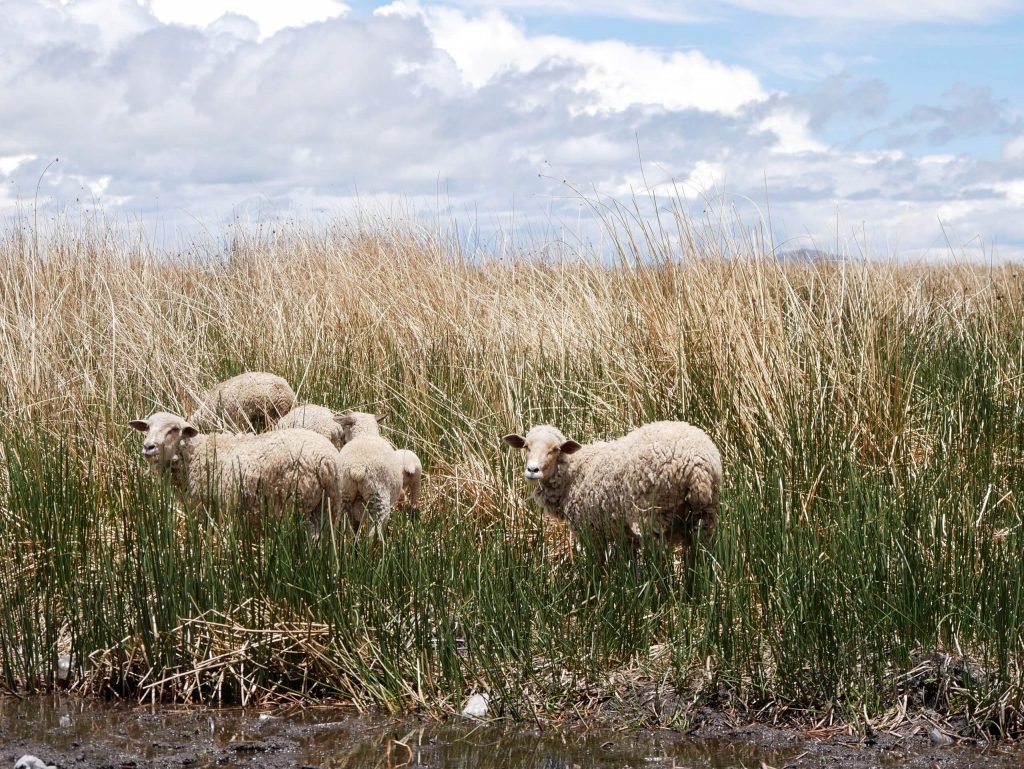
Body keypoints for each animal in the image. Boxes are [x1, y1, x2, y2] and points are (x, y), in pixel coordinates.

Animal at [128, 411, 342, 532]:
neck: (195, 454)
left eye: (173, 429)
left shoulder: (211, 508)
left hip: (295, 502)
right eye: (147, 427)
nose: (148, 447)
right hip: (327, 506)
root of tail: (326, 459)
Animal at [501, 421, 720, 552]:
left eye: (555, 449)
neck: (573, 472)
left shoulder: (589, 530)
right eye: (526, 446)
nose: (532, 470)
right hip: (703, 516)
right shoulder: (624, 535)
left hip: (653, 515)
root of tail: (697, 465)